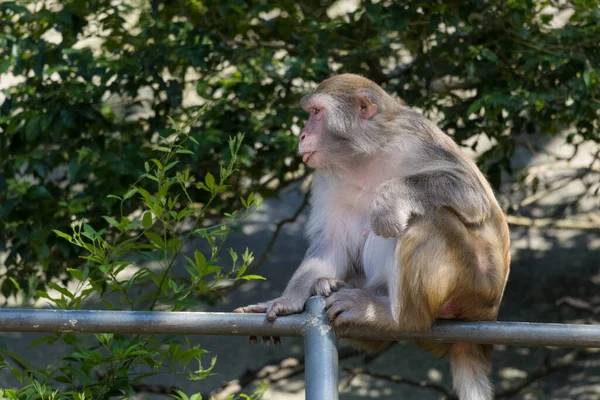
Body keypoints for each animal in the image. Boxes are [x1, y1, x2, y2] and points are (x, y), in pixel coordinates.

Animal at [234, 73, 510, 398]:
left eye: (316, 113)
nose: (301, 136)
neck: (366, 155)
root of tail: (489, 311)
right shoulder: (326, 175)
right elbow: (331, 245)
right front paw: (287, 301)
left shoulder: (416, 138)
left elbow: (471, 195)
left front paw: (389, 199)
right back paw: (333, 288)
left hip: (472, 285)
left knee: (429, 219)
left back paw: (394, 317)